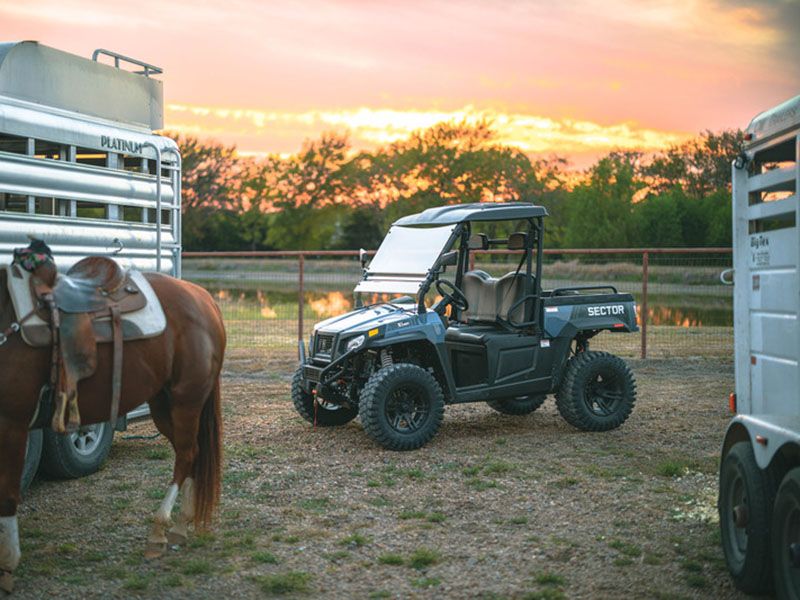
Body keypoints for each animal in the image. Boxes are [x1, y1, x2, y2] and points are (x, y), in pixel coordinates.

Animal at [0, 250, 227, 596]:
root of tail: (203, 298)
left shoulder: (12, 421)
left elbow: (8, 492)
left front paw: (8, 565)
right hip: (163, 404)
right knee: (191, 454)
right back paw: (181, 524)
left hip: (186, 400)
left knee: (187, 455)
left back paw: (160, 529)